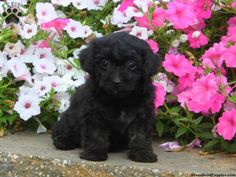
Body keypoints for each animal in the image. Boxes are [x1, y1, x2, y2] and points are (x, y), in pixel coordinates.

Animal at [52, 31, 160, 162]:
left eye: (131, 65)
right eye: (105, 62)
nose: (116, 81)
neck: (120, 100)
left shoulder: (143, 114)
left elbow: (140, 135)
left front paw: (142, 153)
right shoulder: (93, 114)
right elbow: (95, 134)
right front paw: (94, 153)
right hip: (69, 117)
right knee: (62, 128)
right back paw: (63, 141)